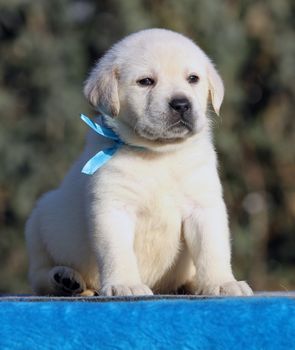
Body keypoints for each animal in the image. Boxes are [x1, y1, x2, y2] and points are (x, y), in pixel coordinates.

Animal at [25, 29, 253, 296]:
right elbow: (118, 252)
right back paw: (64, 279)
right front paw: (126, 284)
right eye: (146, 81)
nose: (181, 104)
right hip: (38, 223)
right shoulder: (113, 207)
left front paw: (222, 283)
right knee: (39, 274)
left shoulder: (203, 205)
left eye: (193, 78)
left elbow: (212, 250)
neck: (158, 154)